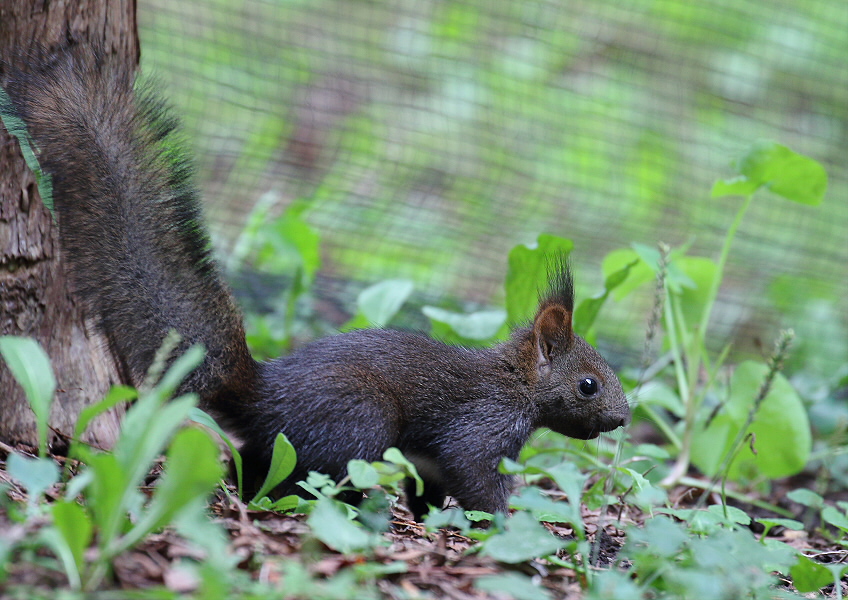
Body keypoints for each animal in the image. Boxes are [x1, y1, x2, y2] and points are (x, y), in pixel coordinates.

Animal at [4, 44, 628, 516]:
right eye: (587, 385)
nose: (622, 420)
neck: (514, 383)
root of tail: (261, 393)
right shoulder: (480, 429)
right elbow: (474, 480)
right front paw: (507, 524)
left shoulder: (431, 457)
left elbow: (427, 485)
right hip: (360, 422)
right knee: (307, 478)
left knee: (252, 466)